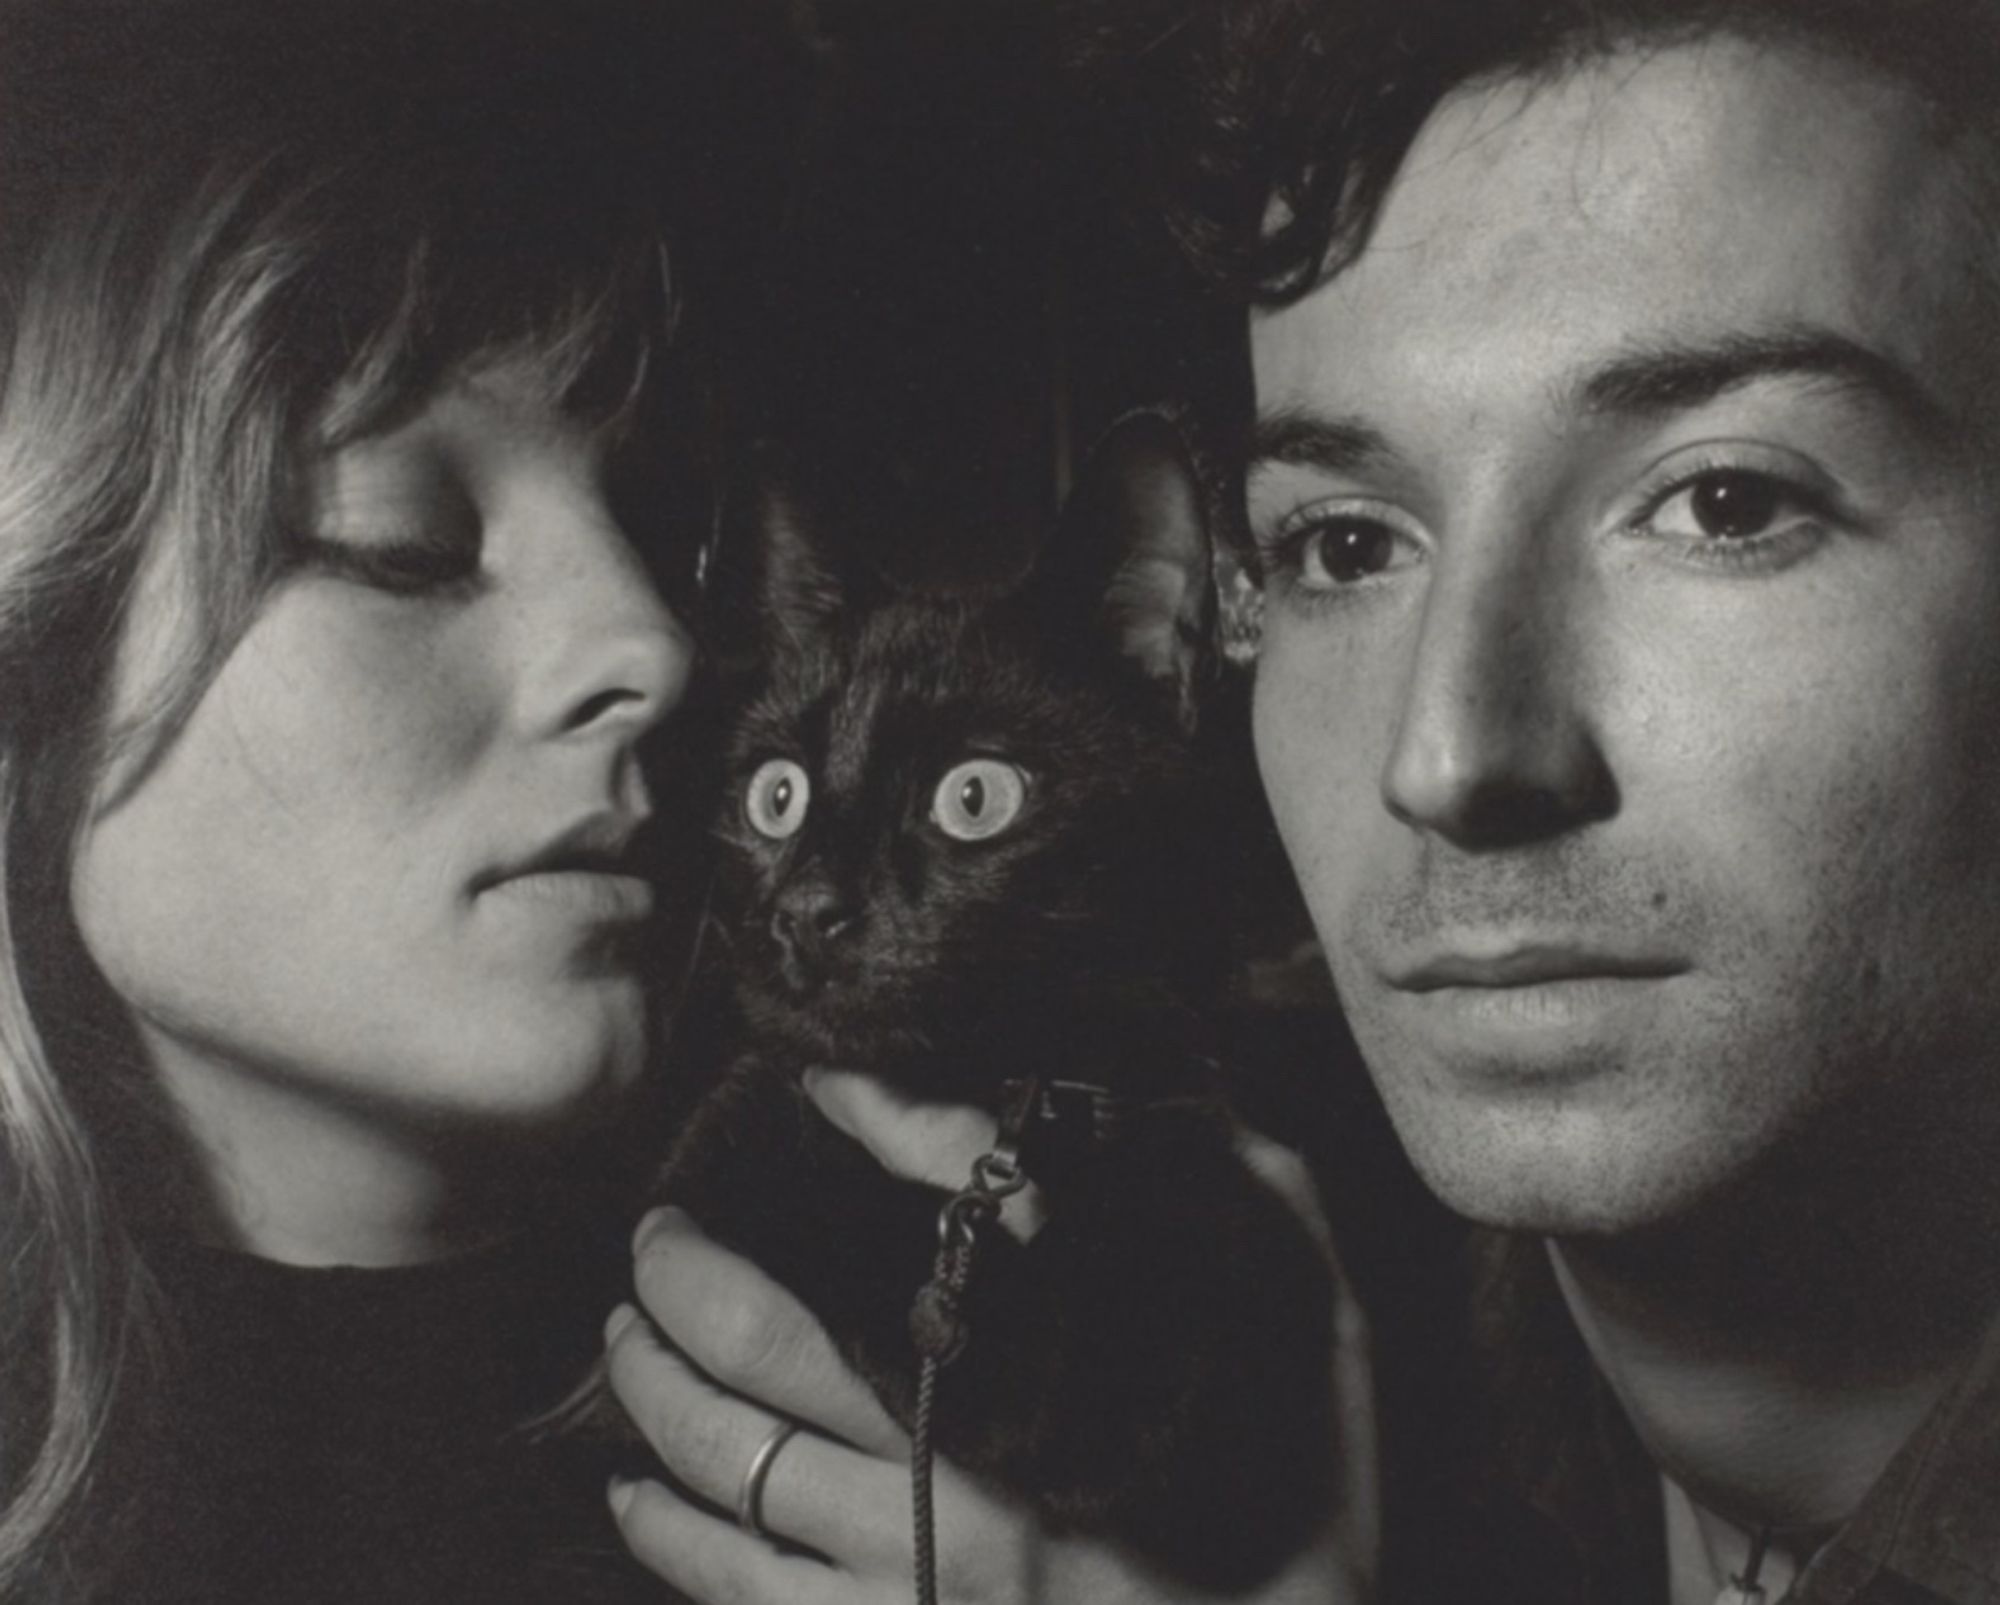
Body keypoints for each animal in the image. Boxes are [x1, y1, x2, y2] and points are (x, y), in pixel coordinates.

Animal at [664, 416, 1336, 1584]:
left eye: (974, 796)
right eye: (775, 795)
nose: (807, 911)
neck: (998, 1098)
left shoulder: (1148, 1082)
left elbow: (1200, 1191)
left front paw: (1162, 1363)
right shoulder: (720, 1138)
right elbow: (813, 1183)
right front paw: (1064, 1392)